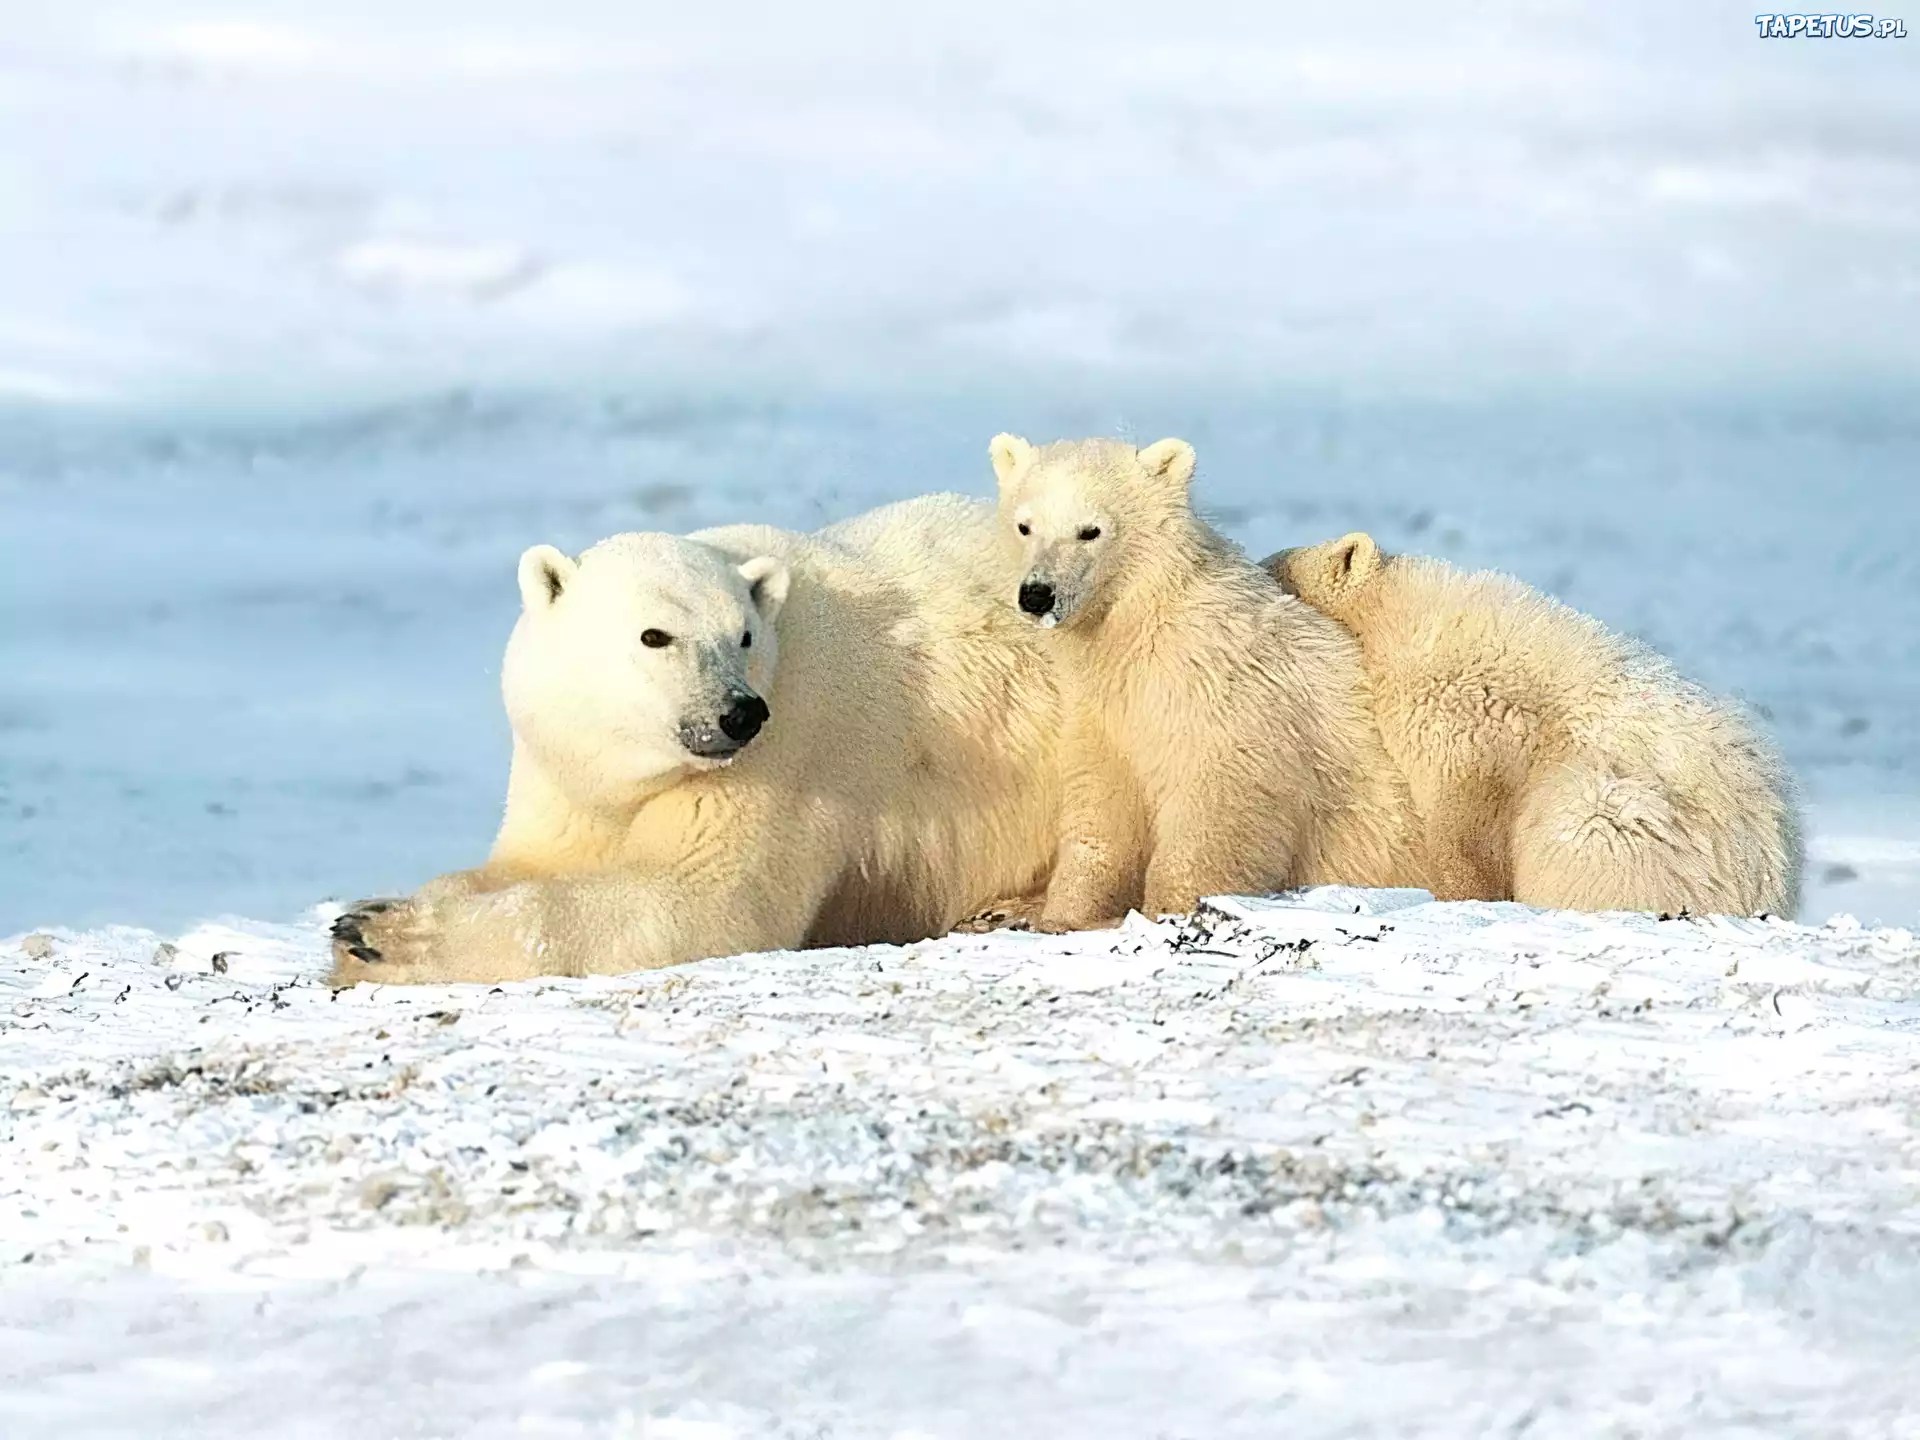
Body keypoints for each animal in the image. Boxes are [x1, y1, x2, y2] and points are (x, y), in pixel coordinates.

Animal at [322, 499, 1059, 990]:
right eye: (656, 636)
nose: (740, 713)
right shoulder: (568, 773)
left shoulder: (796, 744)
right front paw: (370, 918)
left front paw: (382, 937)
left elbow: (698, 898)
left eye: (743, 636)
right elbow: (534, 859)